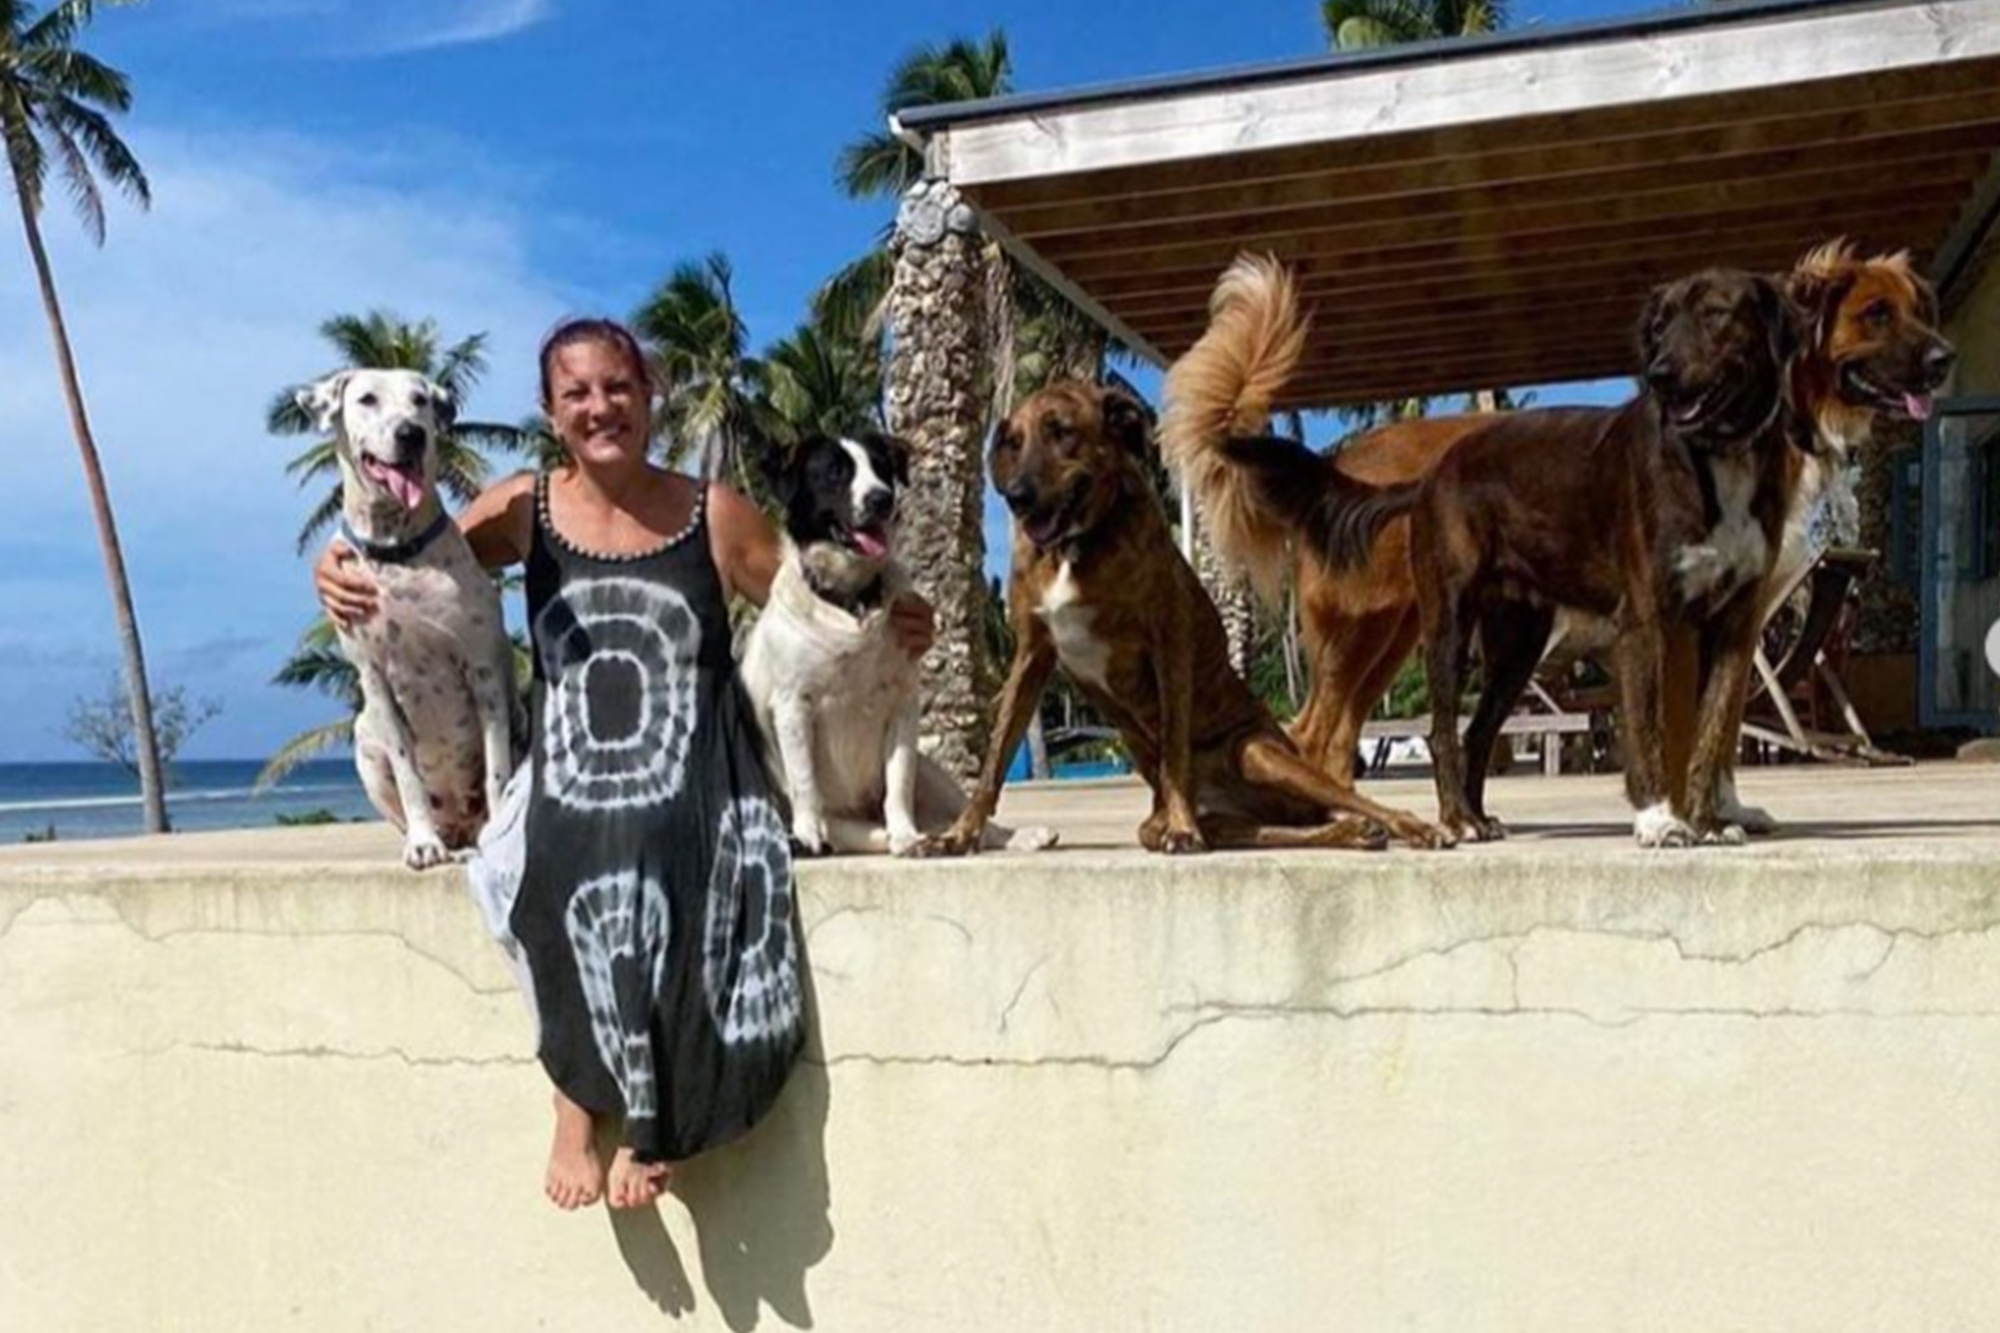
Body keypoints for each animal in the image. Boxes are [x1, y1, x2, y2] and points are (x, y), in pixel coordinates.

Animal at [304, 370, 520, 872]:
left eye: (420, 400)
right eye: (366, 399)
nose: (411, 434)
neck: (397, 548)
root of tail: (460, 824)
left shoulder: (483, 670)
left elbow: (497, 767)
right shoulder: (375, 679)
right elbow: (407, 772)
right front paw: (423, 844)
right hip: (364, 739)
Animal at [744, 430, 1064, 856]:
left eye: (882, 468)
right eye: (834, 472)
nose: (882, 498)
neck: (854, 603)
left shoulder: (901, 704)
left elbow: (898, 783)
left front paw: (906, 833)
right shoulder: (793, 706)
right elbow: (805, 782)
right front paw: (808, 833)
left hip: (934, 776)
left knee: (969, 816)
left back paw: (1010, 836)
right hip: (848, 825)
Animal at [916, 378, 1448, 856]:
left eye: (1062, 431)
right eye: (1012, 441)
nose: (1017, 497)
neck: (1076, 547)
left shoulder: (1167, 641)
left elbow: (1173, 747)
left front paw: (1182, 826)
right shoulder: (1031, 656)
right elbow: (994, 760)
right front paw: (956, 836)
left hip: (1258, 752)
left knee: (1355, 801)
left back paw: (1415, 827)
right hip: (1205, 821)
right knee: (1281, 829)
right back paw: (1351, 832)